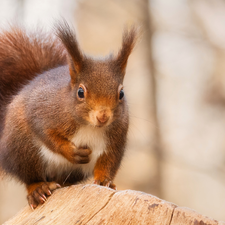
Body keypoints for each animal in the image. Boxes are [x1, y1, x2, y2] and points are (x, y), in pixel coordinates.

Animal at [0, 20, 137, 210]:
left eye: (121, 94)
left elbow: (109, 161)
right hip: (23, 149)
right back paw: (38, 190)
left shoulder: (116, 137)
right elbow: (47, 135)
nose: (102, 117)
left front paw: (105, 181)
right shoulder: (42, 113)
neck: (90, 126)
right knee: (30, 177)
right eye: (80, 92)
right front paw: (71, 152)